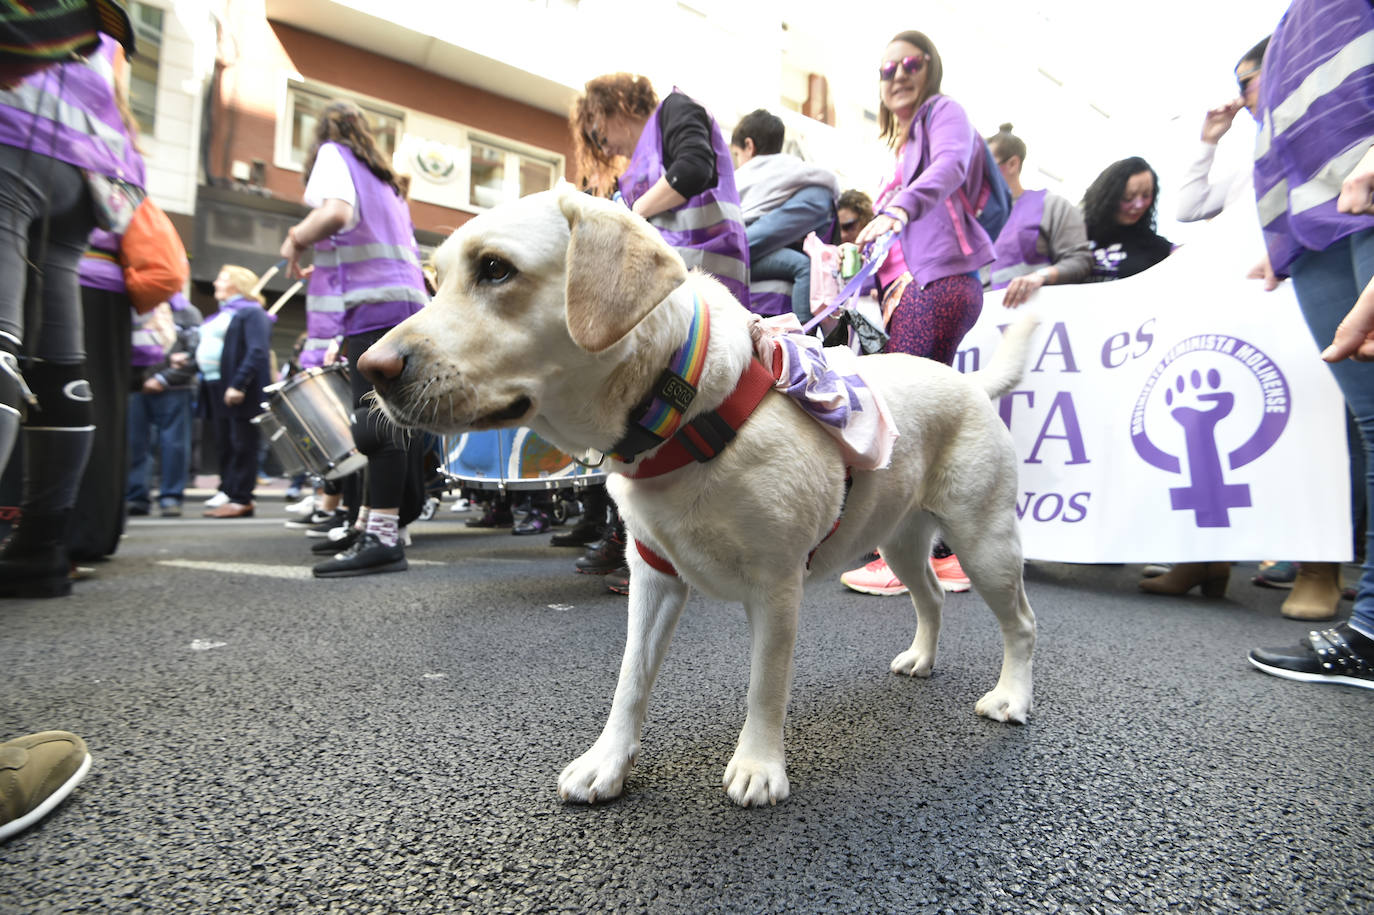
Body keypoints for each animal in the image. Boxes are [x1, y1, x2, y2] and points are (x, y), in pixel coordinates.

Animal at [359, 181, 1033, 802]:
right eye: (435, 281)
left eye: (496, 269)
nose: (371, 369)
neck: (678, 416)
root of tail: (971, 381)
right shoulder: (652, 574)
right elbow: (630, 680)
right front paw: (607, 763)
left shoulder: (776, 585)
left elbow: (766, 683)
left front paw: (759, 766)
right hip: (898, 539)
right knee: (932, 598)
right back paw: (922, 658)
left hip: (985, 543)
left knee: (1020, 622)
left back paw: (1011, 697)